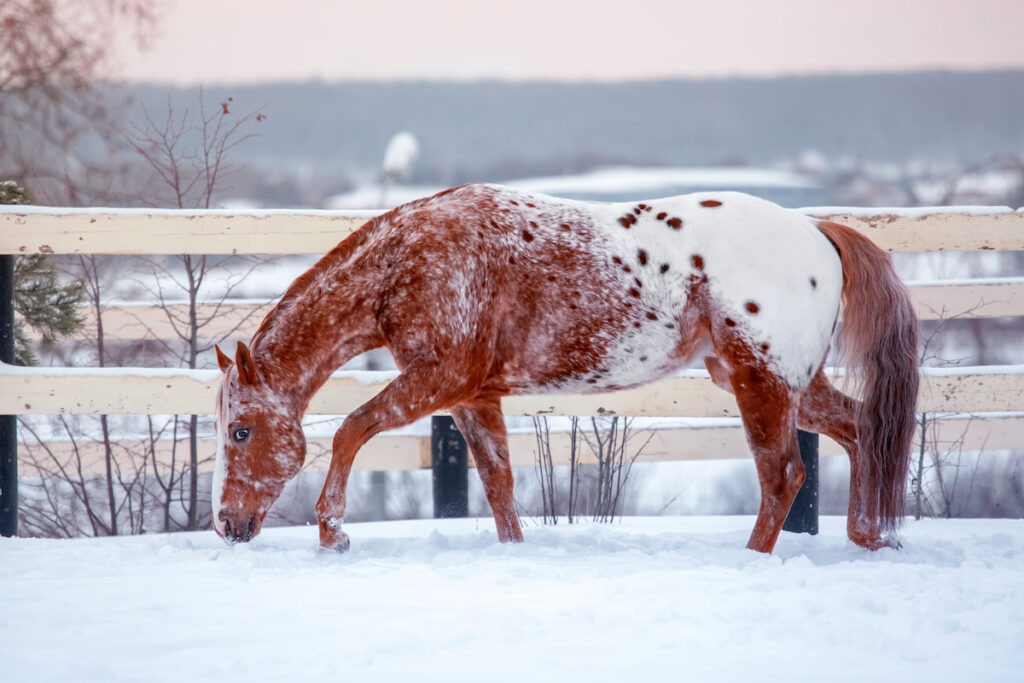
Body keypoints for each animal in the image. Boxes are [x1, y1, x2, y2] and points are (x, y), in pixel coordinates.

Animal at [209, 183, 921, 557]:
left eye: (240, 431)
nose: (226, 524)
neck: (410, 262)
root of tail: (818, 231)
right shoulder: (471, 396)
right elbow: (498, 482)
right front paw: (514, 550)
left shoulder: (437, 379)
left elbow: (351, 429)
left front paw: (332, 532)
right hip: (790, 385)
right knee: (863, 431)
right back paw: (869, 537)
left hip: (761, 383)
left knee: (783, 476)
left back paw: (756, 557)